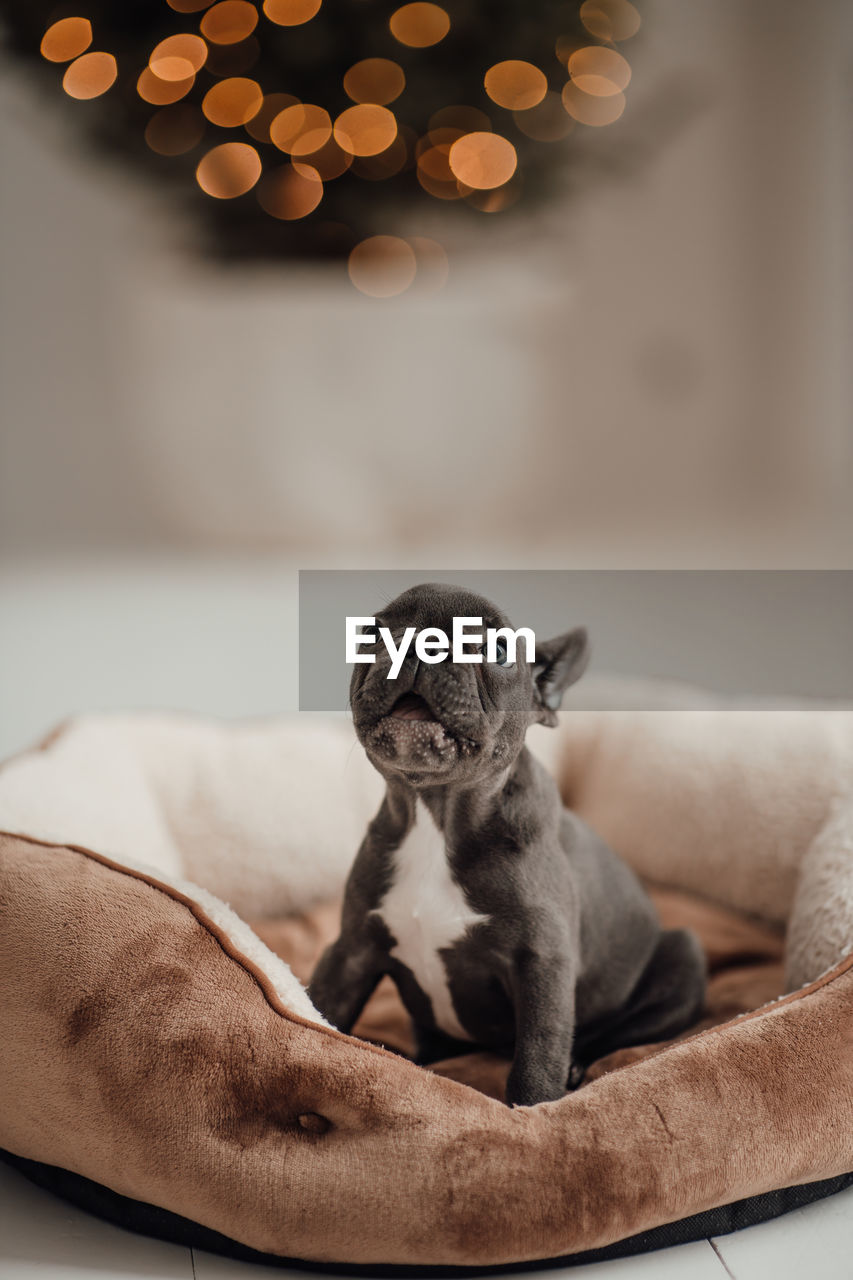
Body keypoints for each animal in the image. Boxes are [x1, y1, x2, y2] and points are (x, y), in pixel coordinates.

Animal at [307, 586, 701, 1105]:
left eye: (498, 650)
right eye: (371, 633)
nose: (419, 645)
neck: (436, 816)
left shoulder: (541, 963)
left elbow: (538, 1051)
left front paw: (533, 1107)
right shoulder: (351, 950)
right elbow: (317, 1010)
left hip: (684, 956)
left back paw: (576, 1065)